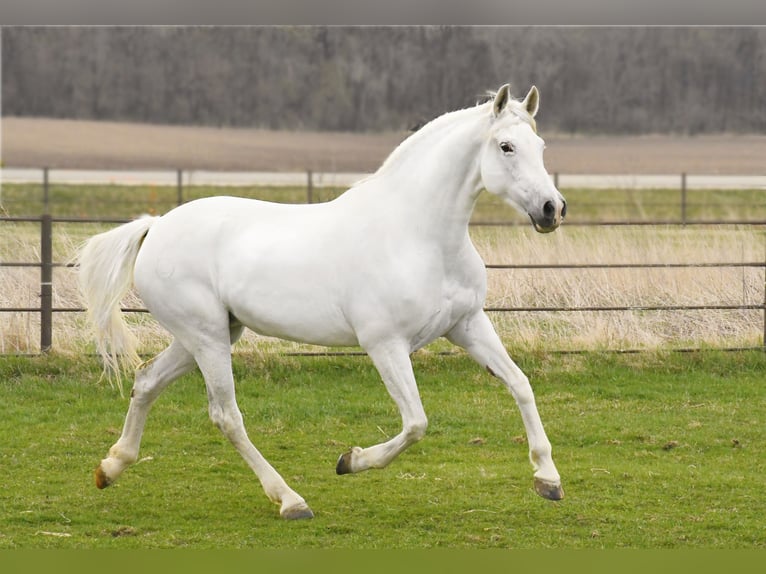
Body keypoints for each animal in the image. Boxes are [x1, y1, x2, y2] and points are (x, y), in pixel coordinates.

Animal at [78, 85, 568, 520]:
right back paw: (290, 501)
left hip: (209, 334)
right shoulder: (385, 345)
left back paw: (110, 467)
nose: (552, 209)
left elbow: (520, 384)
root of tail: (156, 226)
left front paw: (548, 479)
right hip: (207, 338)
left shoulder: (467, 325)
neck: (418, 234)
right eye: (506, 146)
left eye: (541, 145)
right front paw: (350, 461)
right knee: (226, 415)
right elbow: (416, 423)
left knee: (147, 381)